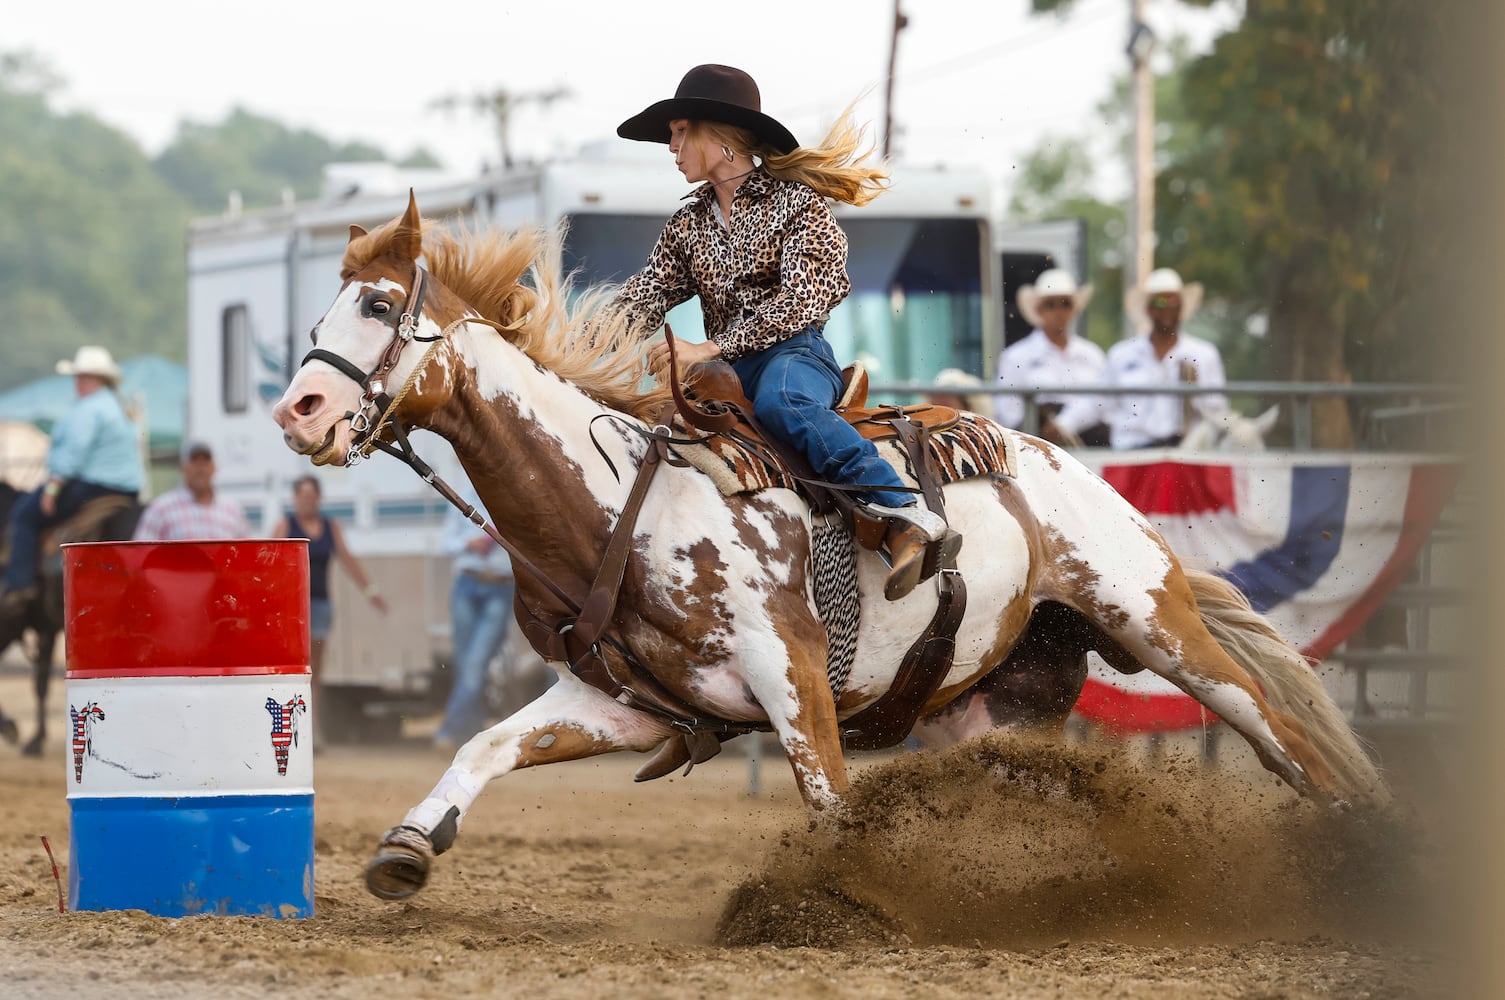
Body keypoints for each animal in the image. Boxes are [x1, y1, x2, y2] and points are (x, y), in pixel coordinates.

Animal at [273, 198, 1384, 903]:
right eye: (319, 311)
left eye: (380, 306)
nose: (299, 410)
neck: (623, 502)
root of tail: (1062, 465)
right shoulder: (621, 703)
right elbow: (483, 744)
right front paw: (407, 848)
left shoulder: (794, 678)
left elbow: (827, 805)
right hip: (1009, 697)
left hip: (1151, 620)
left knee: (1268, 722)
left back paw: (1351, 842)